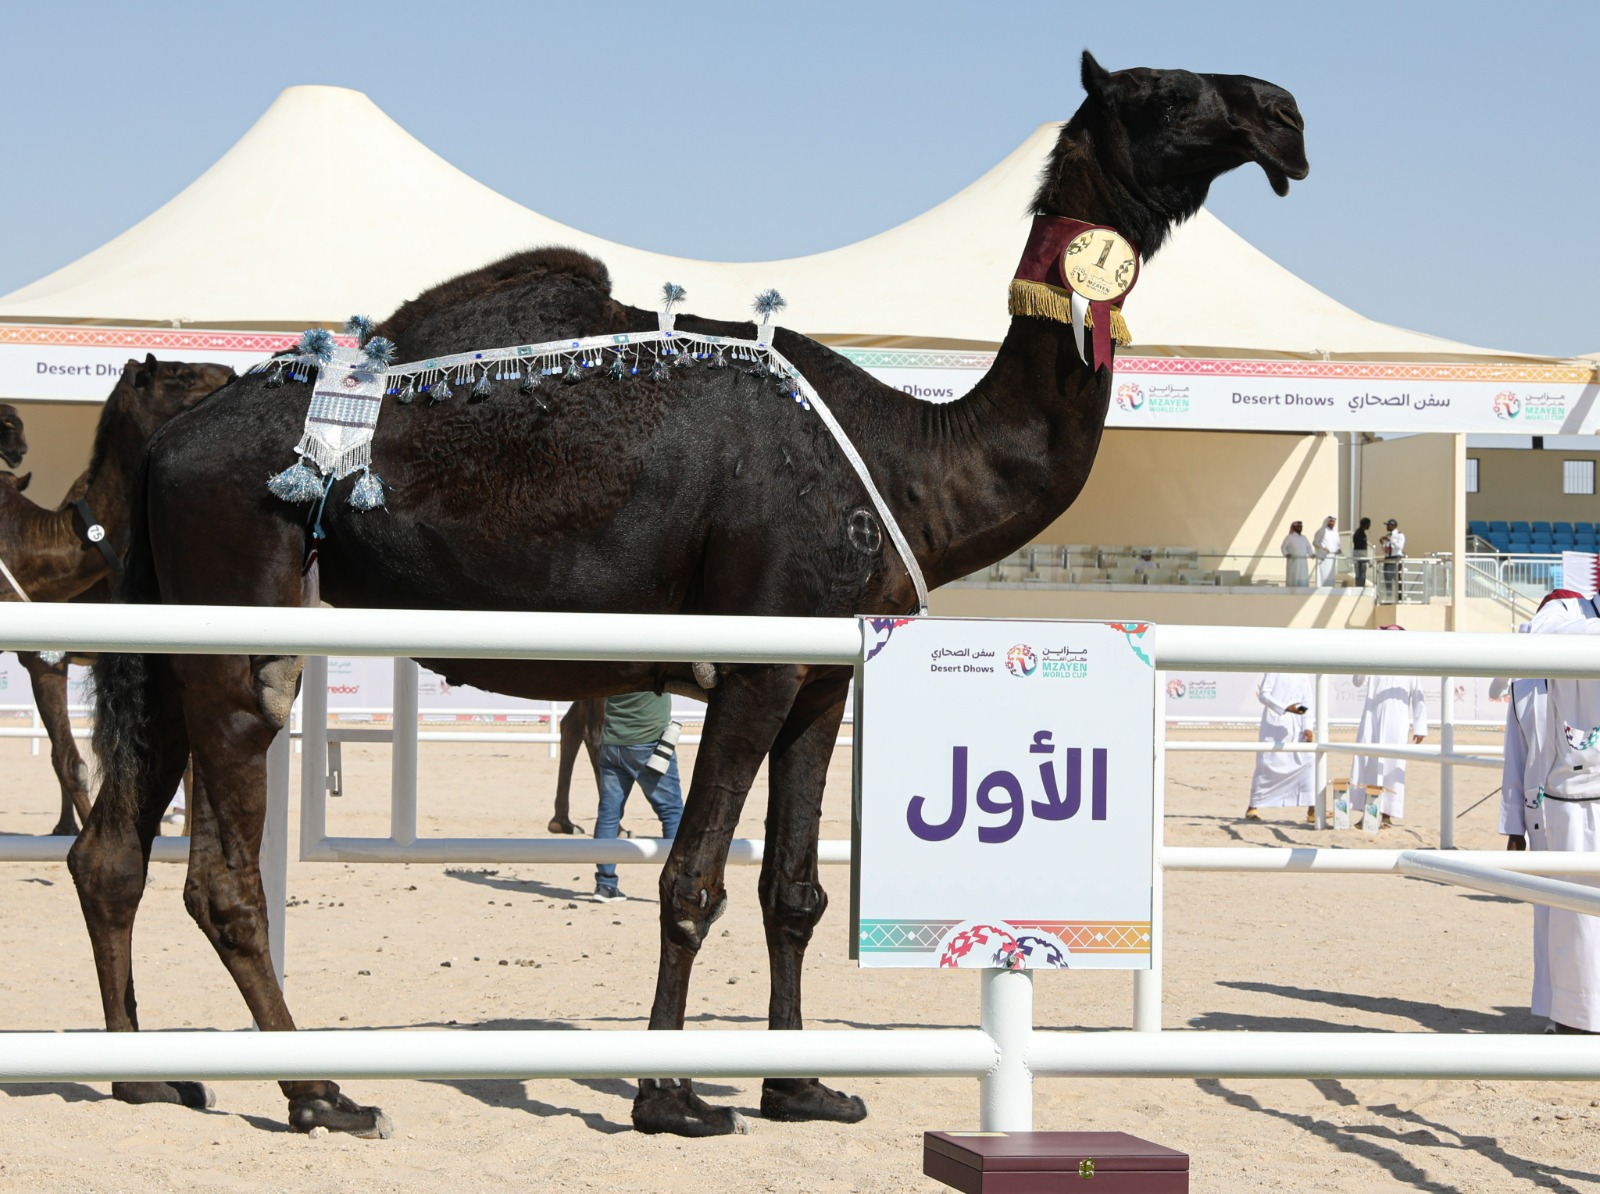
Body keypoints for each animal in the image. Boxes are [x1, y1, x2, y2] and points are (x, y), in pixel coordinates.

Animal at [73, 51, 1307, 1138]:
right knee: (220, 869)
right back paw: (317, 1093)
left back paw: (146, 1076)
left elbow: (796, 891)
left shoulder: (821, 677)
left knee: (112, 851)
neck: (909, 459)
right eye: (1164, 93)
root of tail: (167, 445)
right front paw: (669, 1097)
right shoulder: (756, 658)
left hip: (172, 624)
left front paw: (799, 1089)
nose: (1283, 115)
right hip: (239, 604)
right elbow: (691, 879)